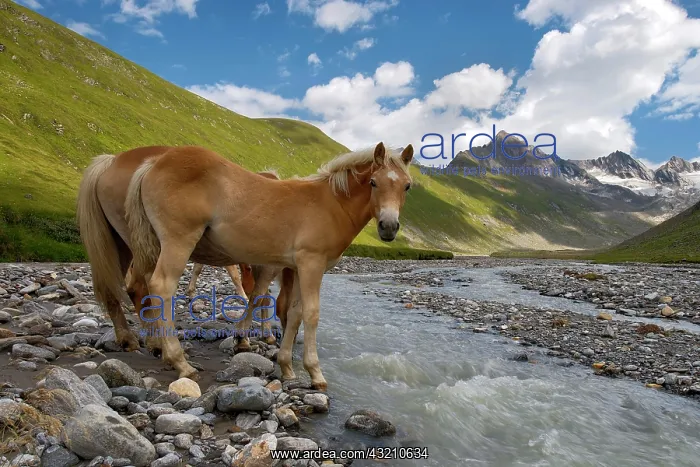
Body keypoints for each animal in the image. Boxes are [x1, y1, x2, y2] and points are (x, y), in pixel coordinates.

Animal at [76, 142, 414, 391]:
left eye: (407, 186)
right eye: (373, 182)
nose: (388, 227)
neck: (329, 203)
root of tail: (152, 163)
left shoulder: (295, 267)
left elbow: (292, 312)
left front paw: (286, 367)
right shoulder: (311, 264)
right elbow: (309, 313)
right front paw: (314, 373)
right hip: (175, 241)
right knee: (159, 285)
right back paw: (177, 359)